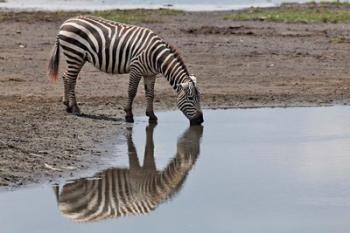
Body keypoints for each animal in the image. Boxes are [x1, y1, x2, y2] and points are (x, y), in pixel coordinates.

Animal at [47, 15, 204, 125]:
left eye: (199, 98)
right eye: (190, 98)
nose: (200, 121)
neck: (157, 56)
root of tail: (65, 23)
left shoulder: (150, 74)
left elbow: (150, 94)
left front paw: (151, 115)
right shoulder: (136, 68)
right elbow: (132, 91)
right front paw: (128, 114)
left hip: (77, 57)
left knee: (66, 77)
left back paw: (67, 105)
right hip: (75, 54)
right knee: (71, 79)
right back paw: (75, 109)